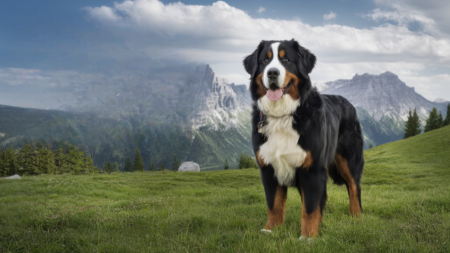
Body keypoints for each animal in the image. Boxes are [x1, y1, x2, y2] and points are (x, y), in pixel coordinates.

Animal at [244, 39, 364, 237]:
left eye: (286, 59)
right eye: (264, 61)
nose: (272, 72)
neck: (283, 115)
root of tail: (347, 102)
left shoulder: (312, 169)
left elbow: (310, 207)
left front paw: (308, 236)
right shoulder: (269, 168)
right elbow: (274, 204)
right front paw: (271, 229)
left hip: (349, 160)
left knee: (354, 188)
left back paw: (357, 218)